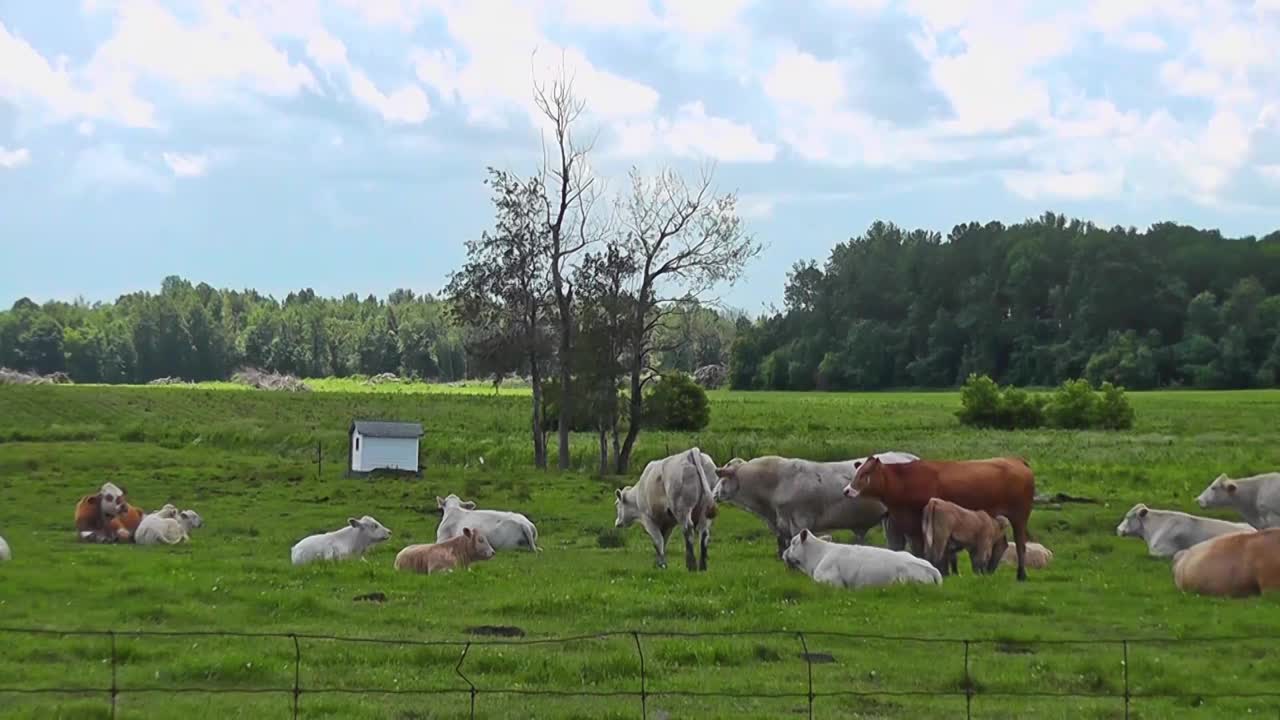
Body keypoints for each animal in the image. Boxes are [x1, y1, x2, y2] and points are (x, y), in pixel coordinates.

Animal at [711, 448, 921, 556]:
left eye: (723, 479)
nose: (713, 495)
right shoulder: (781, 525)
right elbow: (782, 546)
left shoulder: (799, 521)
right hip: (890, 519)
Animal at [844, 456, 1034, 579]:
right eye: (857, 472)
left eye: (865, 473)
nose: (847, 490)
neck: (904, 481)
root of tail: (1016, 461)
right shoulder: (913, 527)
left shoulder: (921, 526)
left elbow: (926, 550)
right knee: (1001, 545)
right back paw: (989, 570)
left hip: (1019, 516)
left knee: (1020, 544)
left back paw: (1021, 574)